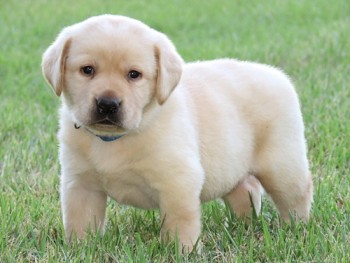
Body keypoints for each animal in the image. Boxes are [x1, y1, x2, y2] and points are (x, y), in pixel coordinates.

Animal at [42, 13, 314, 252]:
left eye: (134, 75)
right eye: (87, 70)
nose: (108, 104)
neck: (114, 139)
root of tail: (276, 74)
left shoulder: (179, 182)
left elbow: (180, 224)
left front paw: (182, 251)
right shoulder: (81, 184)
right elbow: (80, 222)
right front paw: (80, 249)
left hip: (282, 166)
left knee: (297, 194)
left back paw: (296, 229)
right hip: (234, 166)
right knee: (245, 189)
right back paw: (242, 225)